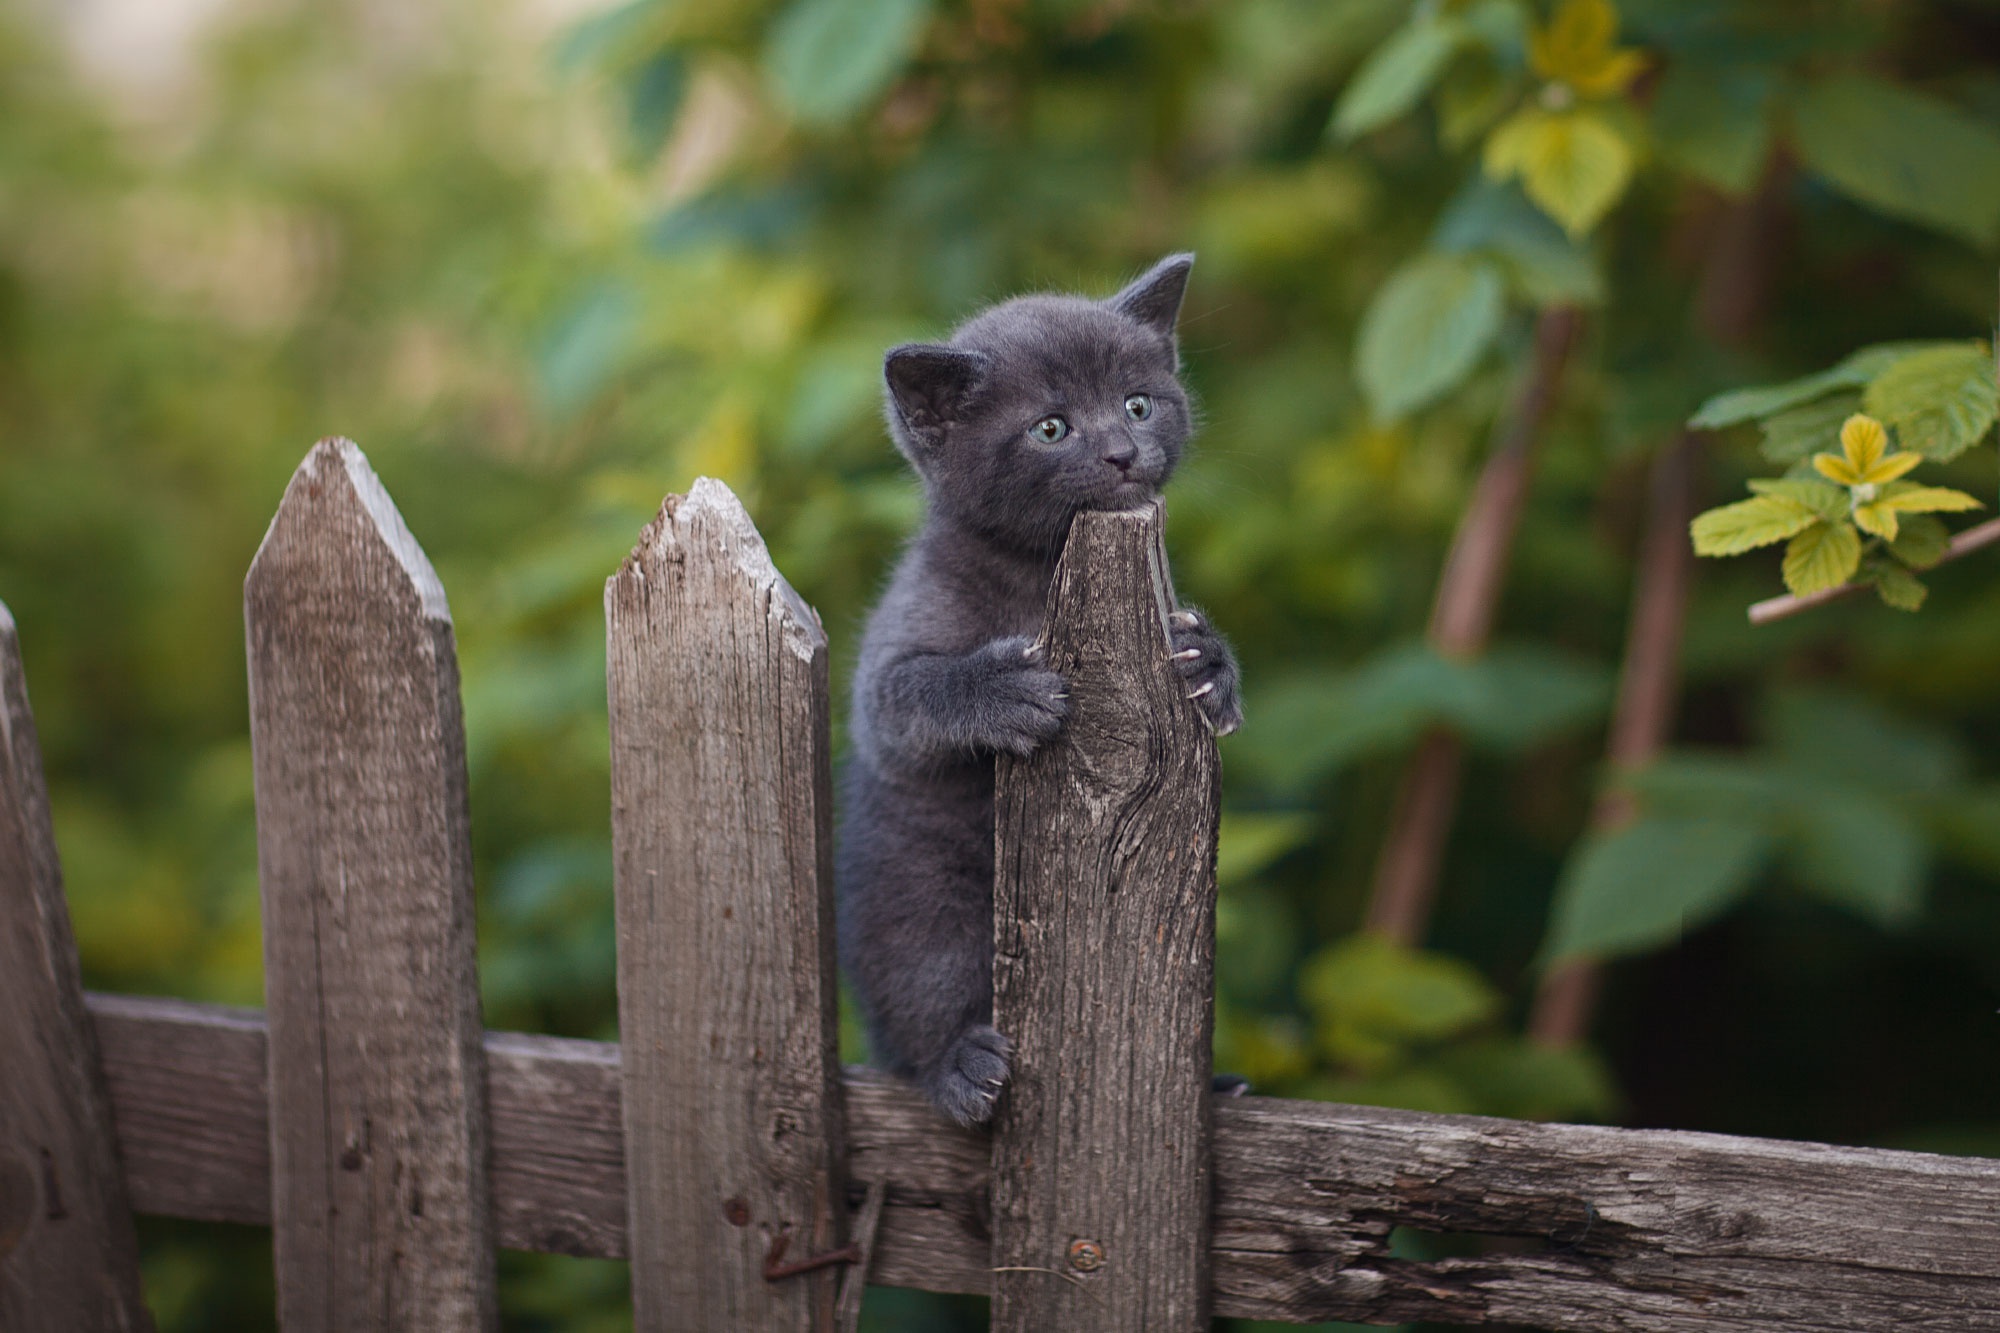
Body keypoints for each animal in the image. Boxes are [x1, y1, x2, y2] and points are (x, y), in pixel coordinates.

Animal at [836, 252, 1240, 1120]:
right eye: (1050, 428)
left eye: (1138, 403)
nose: (1123, 450)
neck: (1036, 573)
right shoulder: (892, 655)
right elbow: (906, 694)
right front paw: (1003, 689)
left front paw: (1210, 664)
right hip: (919, 897)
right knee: (922, 990)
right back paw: (960, 1064)